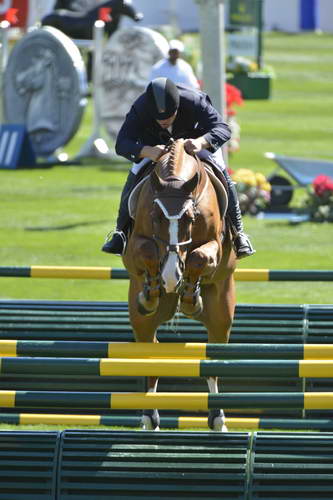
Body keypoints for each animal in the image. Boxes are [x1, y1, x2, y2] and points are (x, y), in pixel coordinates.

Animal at [122, 139, 236, 432]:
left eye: (190, 218)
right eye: (155, 216)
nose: (172, 277)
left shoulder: (215, 246)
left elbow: (198, 256)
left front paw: (190, 297)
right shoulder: (136, 244)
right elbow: (148, 250)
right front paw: (154, 288)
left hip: (221, 311)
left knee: (213, 356)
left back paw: (218, 418)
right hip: (141, 318)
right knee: (150, 350)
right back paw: (149, 417)